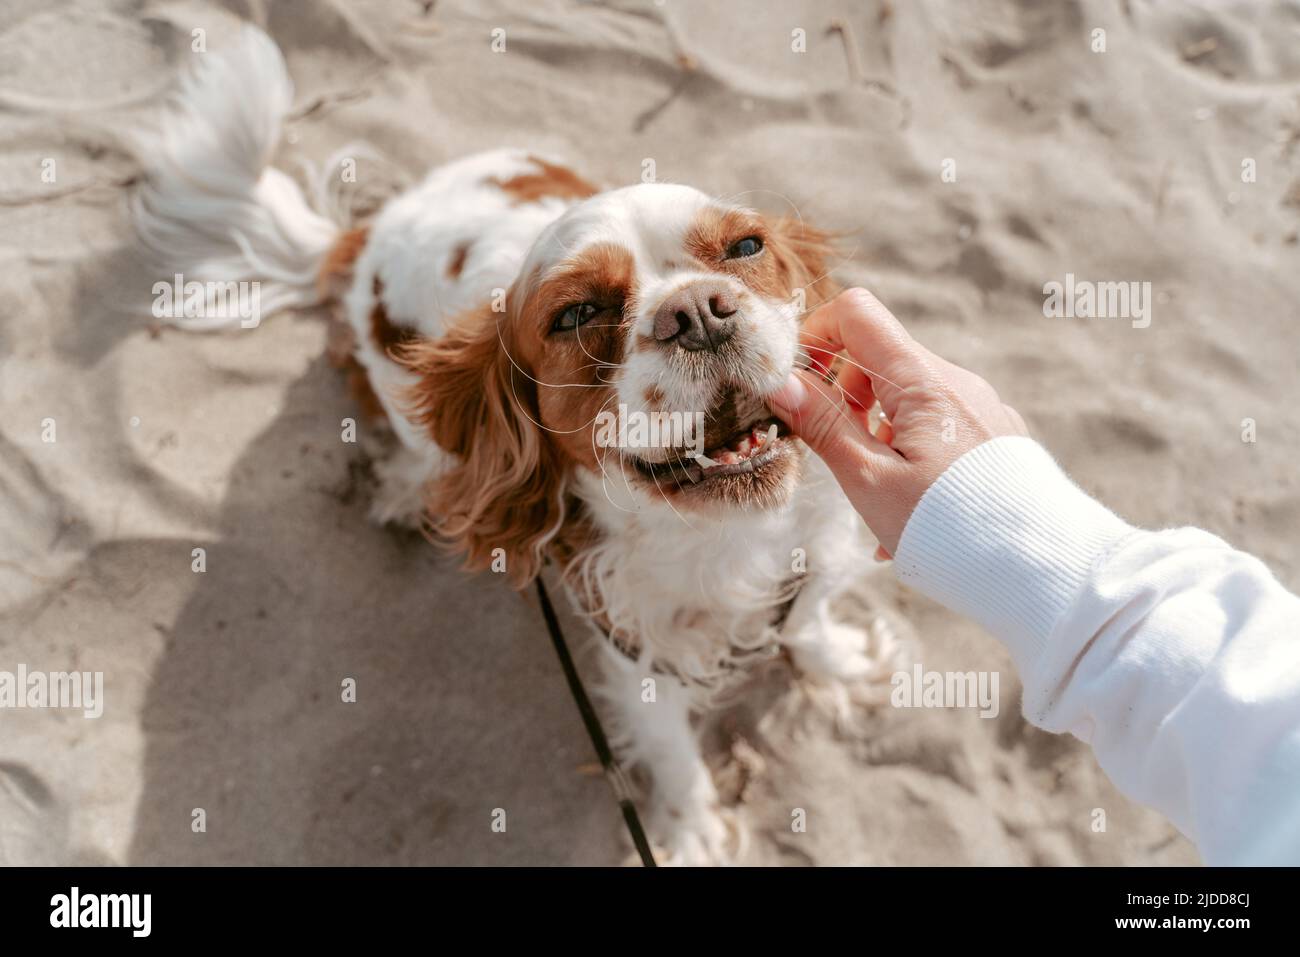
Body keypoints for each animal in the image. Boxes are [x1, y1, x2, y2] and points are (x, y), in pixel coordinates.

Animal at [129, 22, 904, 863]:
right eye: (576, 314)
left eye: (746, 248)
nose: (698, 309)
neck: (724, 535)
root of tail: (367, 232)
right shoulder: (631, 642)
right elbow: (666, 737)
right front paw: (691, 823)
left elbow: (809, 614)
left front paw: (839, 662)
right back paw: (407, 487)